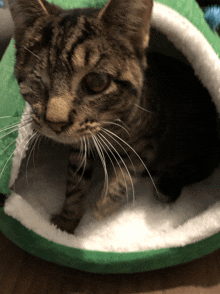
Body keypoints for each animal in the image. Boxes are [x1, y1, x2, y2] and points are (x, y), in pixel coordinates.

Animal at [7, 0, 220, 233]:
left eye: (96, 81)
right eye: (37, 79)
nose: (56, 123)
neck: (110, 125)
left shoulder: (149, 140)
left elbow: (127, 172)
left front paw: (105, 205)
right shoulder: (81, 145)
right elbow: (76, 182)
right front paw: (66, 222)